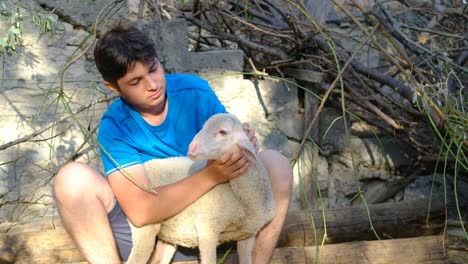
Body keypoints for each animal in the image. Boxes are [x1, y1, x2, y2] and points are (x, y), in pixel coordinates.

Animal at [126, 113, 276, 264]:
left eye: (223, 132)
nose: (191, 148)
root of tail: (144, 166)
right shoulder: (207, 229)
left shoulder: (248, 234)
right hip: (143, 227)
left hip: (168, 232)